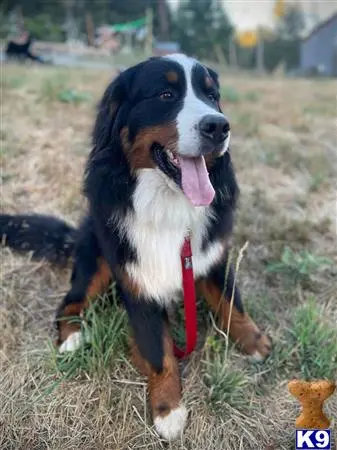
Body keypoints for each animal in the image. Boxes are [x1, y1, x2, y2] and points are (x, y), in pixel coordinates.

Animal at [0, 52, 272, 440]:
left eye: (212, 95)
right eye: (165, 95)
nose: (219, 126)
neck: (169, 204)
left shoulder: (211, 256)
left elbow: (232, 303)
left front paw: (254, 341)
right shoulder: (139, 281)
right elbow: (159, 352)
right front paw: (168, 409)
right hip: (97, 261)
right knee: (69, 304)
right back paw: (73, 338)